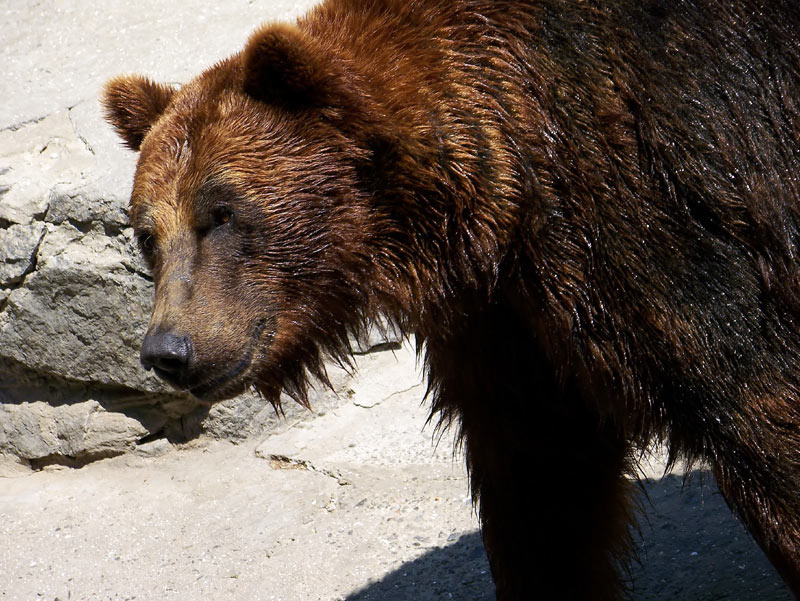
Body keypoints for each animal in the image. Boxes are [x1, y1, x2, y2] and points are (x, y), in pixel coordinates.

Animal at [102, 0, 800, 598]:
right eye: (147, 233)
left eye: (221, 213)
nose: (168, 349)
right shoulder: (509, 312)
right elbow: (541, 477)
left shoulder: (652, 206)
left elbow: (756, 403)